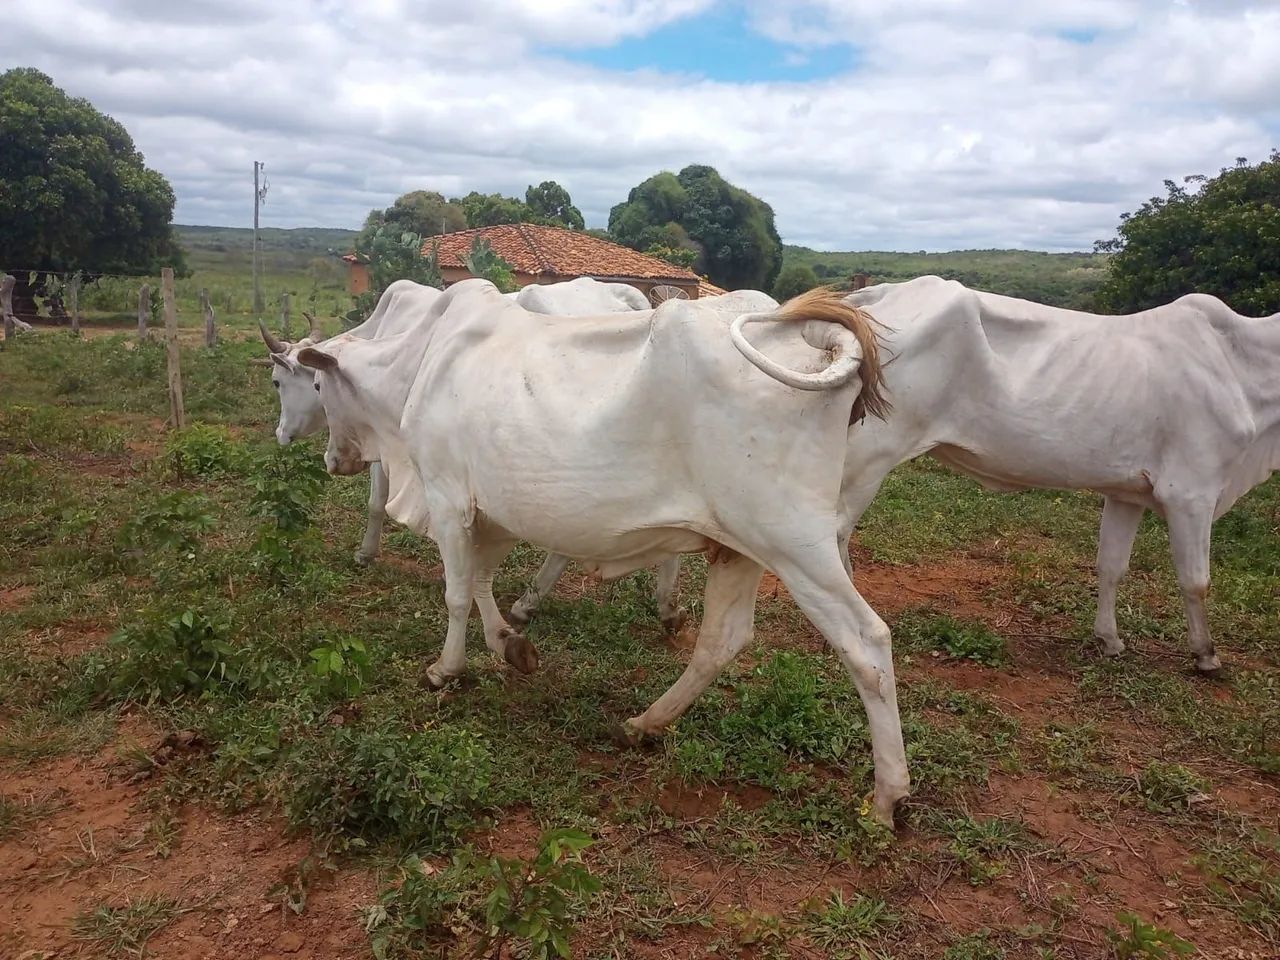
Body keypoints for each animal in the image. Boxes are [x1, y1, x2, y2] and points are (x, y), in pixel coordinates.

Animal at [259, 277, 690, 631]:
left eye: (278, 381)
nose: (280, 434)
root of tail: (631, 302)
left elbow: (377, 502)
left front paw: (366, 553)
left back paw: (527, 602)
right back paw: (666, 604)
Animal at [837, 276, 1279, 674]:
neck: (1239, 362)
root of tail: (876, 295)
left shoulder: (1126, 493)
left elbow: (1111, 565)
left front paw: (1109, 639)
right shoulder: (1191, 492)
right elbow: (1196, 580)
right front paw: (1206, 655)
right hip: (868, 458)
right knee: (834, 533)